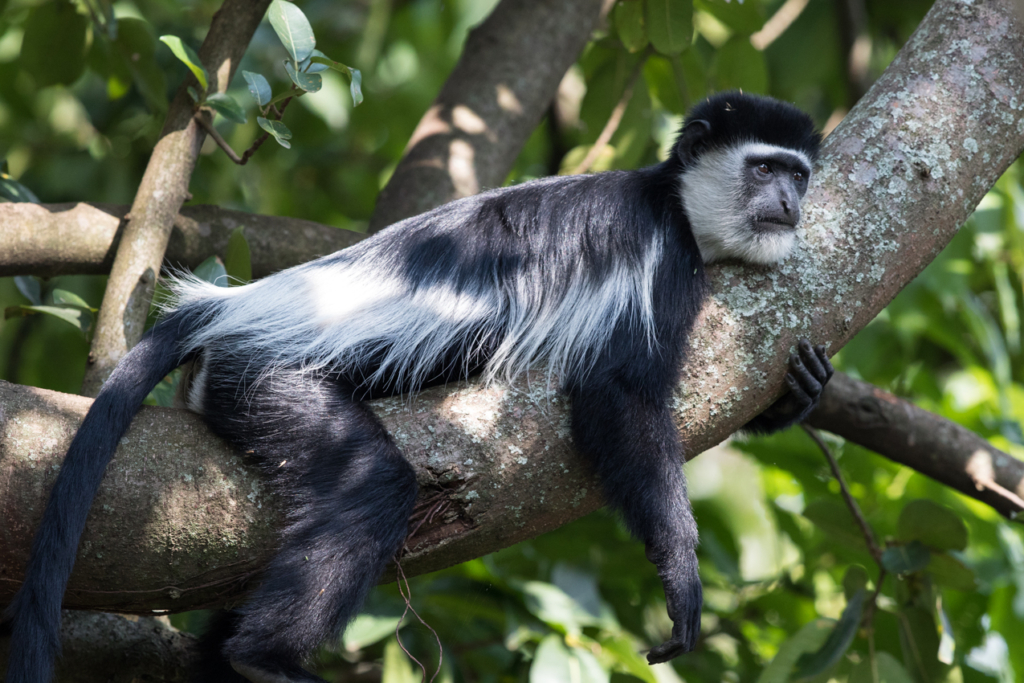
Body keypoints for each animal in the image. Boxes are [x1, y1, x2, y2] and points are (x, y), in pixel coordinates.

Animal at [4, 92, 831, 683]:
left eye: (799, 173)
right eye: (764, 169)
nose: (790, 203)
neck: (673, 201)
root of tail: (234, 305)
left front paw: (803, 388)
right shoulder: (660, 264)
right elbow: (619, 396)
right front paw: (682, 577)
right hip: (264, 377)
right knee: (369, 484)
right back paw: (263, 659)